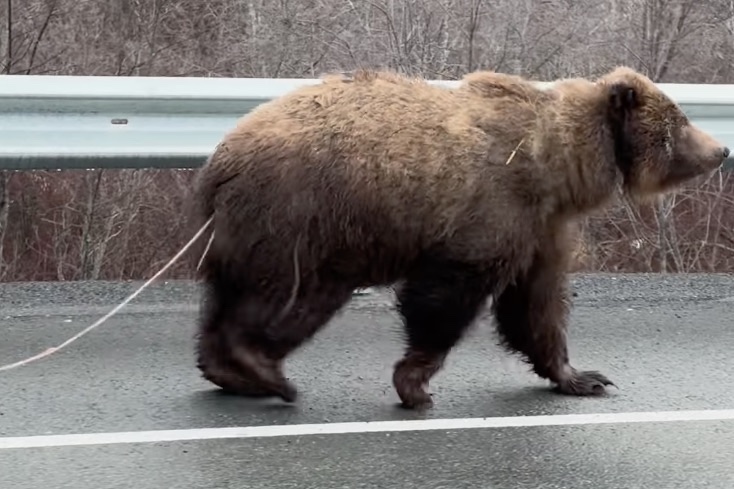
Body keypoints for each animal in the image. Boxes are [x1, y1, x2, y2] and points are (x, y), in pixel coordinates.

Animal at [187, 66, 729, 409]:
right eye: (680, 123)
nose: (721, 148)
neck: (560, 165)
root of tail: (219, 161)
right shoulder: (493, 207)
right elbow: (446, 295)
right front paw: (414, 383)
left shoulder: (541, 227)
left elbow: (537, 307)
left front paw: (583, 377)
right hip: (302, 219)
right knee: (288, 299)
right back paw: (264, 371)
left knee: (239, 302)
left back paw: (231, 371)